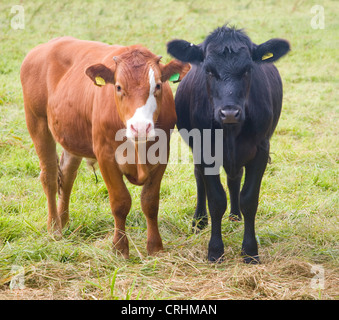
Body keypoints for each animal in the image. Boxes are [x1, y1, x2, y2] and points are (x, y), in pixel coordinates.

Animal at [20, 37, 190, 258]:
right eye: (118, 87)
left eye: (158, 86)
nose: (140, 127)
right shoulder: (105, 155)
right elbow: (120, 202)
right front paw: (119, 248)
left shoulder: (162, 153)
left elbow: (150, 202)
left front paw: (155, 248)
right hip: (37, 121)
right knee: (49, 176)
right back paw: (54, 228)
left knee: (66, 175)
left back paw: (64, 223)